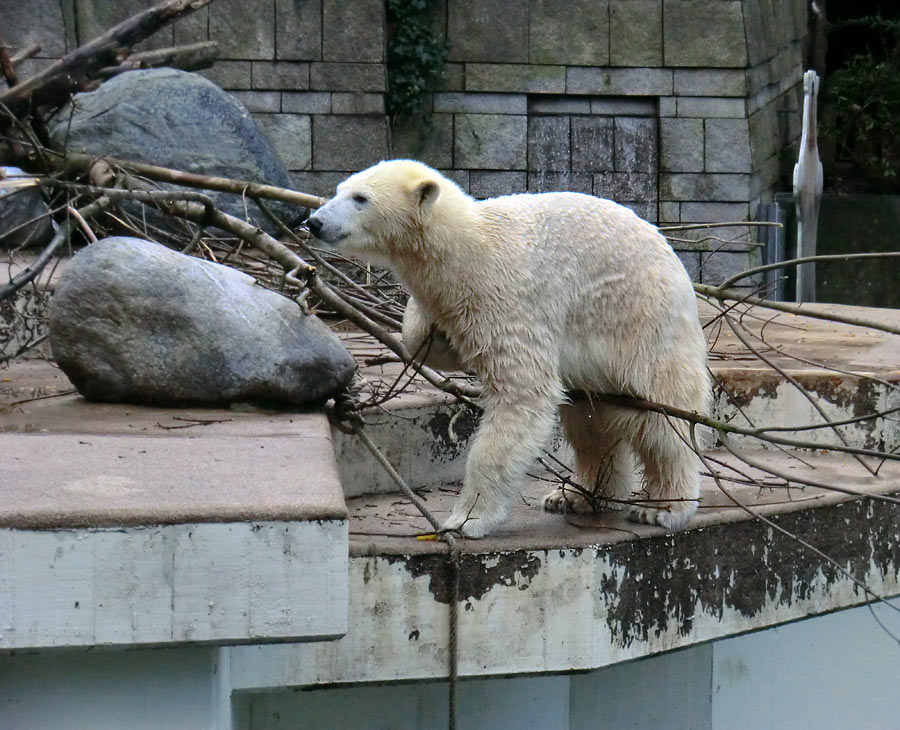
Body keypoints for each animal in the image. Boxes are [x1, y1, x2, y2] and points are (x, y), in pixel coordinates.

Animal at [310, 161, 712, 536]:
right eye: (339, 189)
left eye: (360, 198)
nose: (314, 221)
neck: (467, 249)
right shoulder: (455, 302)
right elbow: (426, 338)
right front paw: (430, 336)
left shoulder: (507, 298)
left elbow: (522, 395)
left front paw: (466, 519)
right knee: (590, 419)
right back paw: (576, 495)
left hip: (642, 322)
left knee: (663, 418)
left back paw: (664, 506)